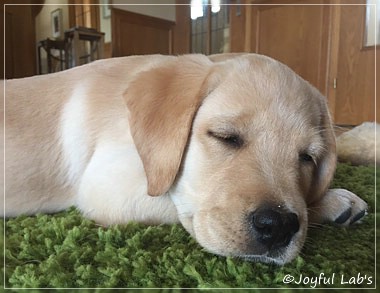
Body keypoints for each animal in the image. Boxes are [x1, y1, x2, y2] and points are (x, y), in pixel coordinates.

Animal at [0, 53, 368, 264]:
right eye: (225, 137)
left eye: (307, 157)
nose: (277, 227)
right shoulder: (104, 188)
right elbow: (181, 208)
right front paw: (333, 201)